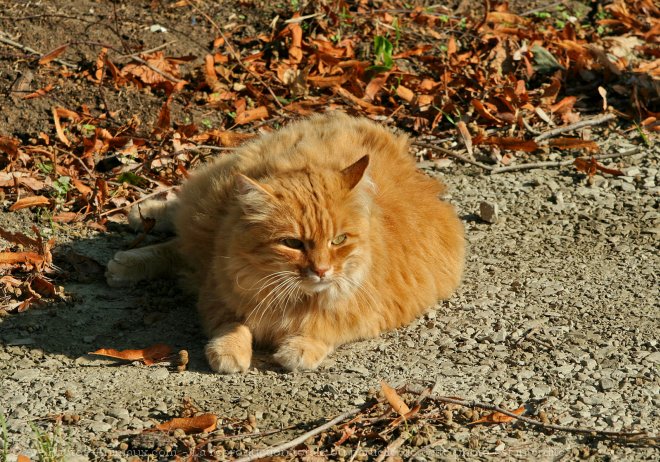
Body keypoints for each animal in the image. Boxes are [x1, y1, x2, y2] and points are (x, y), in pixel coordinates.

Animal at [107, 113, 464, 374]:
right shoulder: (218, 292)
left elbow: (327, 327)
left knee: (180, 248)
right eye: (292, 243)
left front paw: (299, 349)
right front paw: (229, 351)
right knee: (177, 229)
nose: (321, 270)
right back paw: (136, 229)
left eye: (339, 240)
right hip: (208, 205)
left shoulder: (368, 309)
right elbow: (232, 324)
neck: (291, 297)